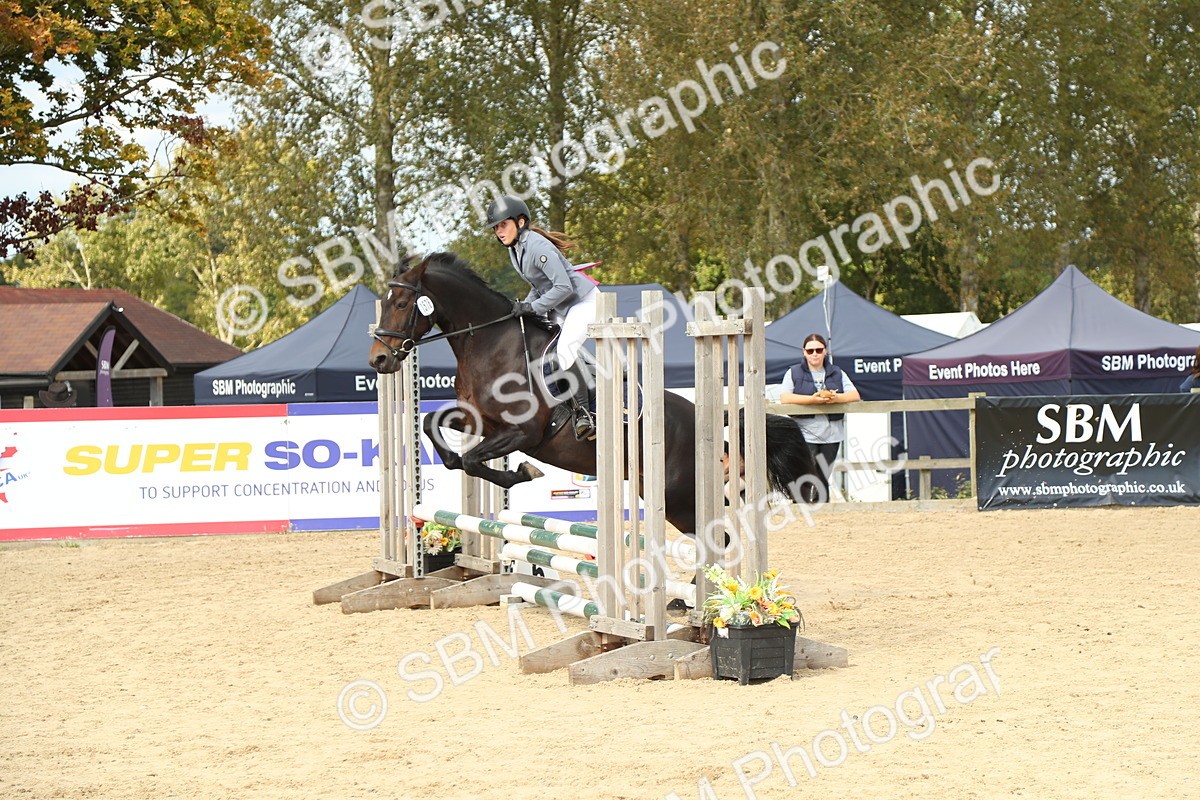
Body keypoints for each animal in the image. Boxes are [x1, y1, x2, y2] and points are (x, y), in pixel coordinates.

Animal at [367, 252, 817, 536]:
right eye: (385, 302)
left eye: (403, 302)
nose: (379, 359)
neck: (490, 342)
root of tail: (702, 416)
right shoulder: (482, 420)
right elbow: (438, 433)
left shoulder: (522, 433)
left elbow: (475, 460)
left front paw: (522, 473)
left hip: (676, 495)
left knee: (715, 538)